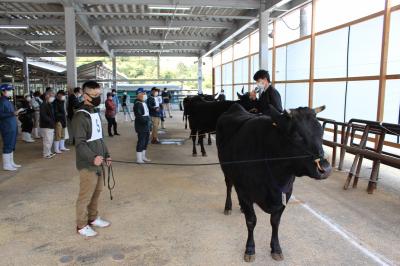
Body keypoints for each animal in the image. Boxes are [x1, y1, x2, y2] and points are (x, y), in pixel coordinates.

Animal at [216, 103, 332, 262]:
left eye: (321, 132)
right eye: (296, 135)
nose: (325, 168)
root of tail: (235, 106)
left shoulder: (286, 193)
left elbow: (275, 222)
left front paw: (276, 248)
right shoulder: (245, 191)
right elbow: (251, 221)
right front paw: (250, 249)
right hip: (226, 169)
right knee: (229, 185)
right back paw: (228, 207)